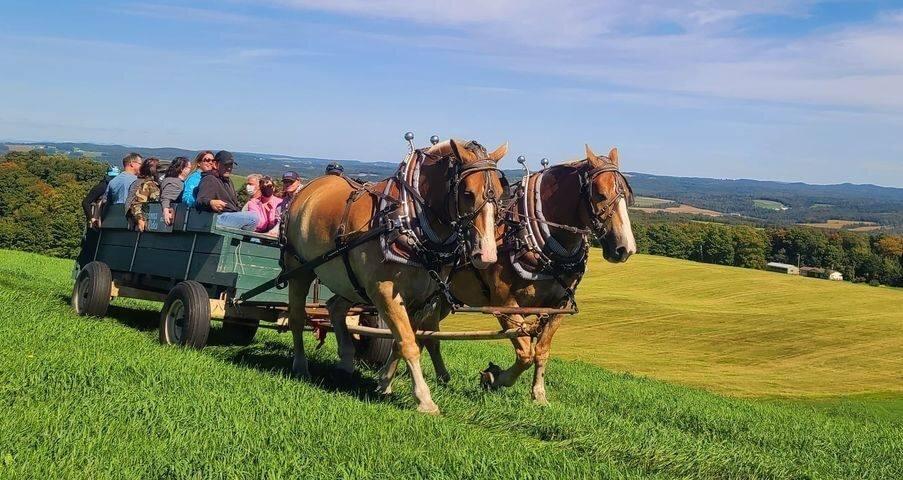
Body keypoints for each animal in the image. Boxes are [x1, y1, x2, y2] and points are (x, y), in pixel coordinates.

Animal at [282, 138, 508, 412]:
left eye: (500, 192)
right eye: (467, 193)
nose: (487, 255)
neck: (407, 221)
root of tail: (310, 188)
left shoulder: (421, 300)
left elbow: (401, 341)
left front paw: (384, 383)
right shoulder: (384, 292)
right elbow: (409, 343)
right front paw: (424, 399)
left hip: (349, 282)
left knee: (335, 307)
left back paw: (346, 361)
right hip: (299, 269)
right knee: (296, 317)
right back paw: (300, 365)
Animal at [382, 144, 636, 404]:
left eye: (626, 194)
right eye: (600, 194)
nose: (625, 249)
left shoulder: (559, 306)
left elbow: (541, 351)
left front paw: (539, 395)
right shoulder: (504, 303)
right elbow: (525, 352)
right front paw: (494, 378)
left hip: (437, 298)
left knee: (425, 334)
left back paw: (431, 376)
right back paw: (390, 379)